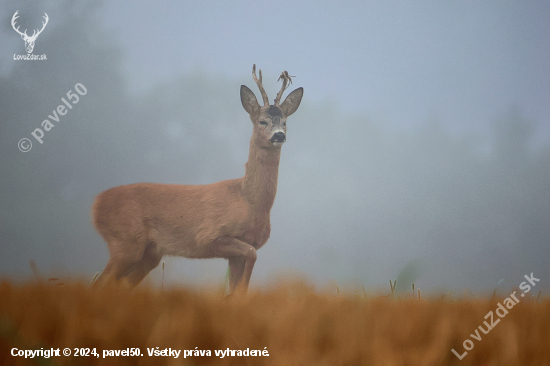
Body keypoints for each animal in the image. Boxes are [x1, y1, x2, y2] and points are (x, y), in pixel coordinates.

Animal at [92, 65, 304, 294]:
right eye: (262, 121)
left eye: (285, 122)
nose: (279, 135)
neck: (248, 200)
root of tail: (95, 204)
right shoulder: (209, 236)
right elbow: (250, 259)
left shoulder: (239, 252)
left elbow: (239, 288)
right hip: (125, 241)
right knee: (100, 282)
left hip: (149, 253)